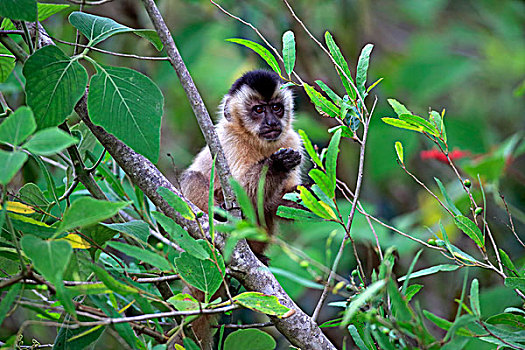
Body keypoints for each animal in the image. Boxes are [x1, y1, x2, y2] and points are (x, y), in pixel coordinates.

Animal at [181, 69, 300, 258]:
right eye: (258, 109)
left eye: (276, 108)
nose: (272, 122)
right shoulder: (231, 141)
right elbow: (237, 193)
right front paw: (278, 164)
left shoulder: (292, 140)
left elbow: (276, 204)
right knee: (191, 178)